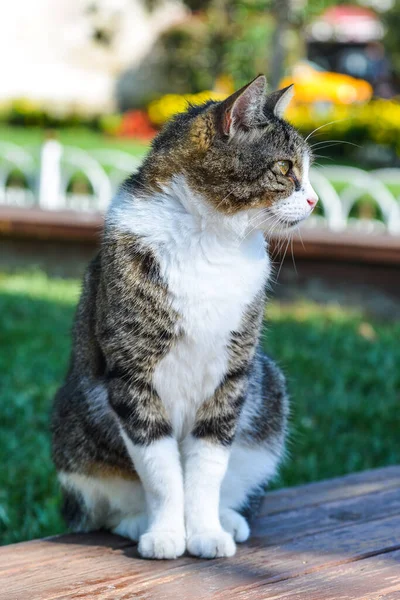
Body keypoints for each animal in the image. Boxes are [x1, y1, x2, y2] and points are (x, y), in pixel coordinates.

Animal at [51, 75, 318, 556]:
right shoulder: (133, 376)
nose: (314, 200)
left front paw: (206, 531)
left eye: (306, 170)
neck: (212, 241)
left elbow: (208, 466)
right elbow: (160, 471)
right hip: (73, 424)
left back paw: (228, 519)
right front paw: (166, 534)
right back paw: (136, 522)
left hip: (268, 388)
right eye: (286, 168)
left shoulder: (232, 375)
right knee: (105, 505)